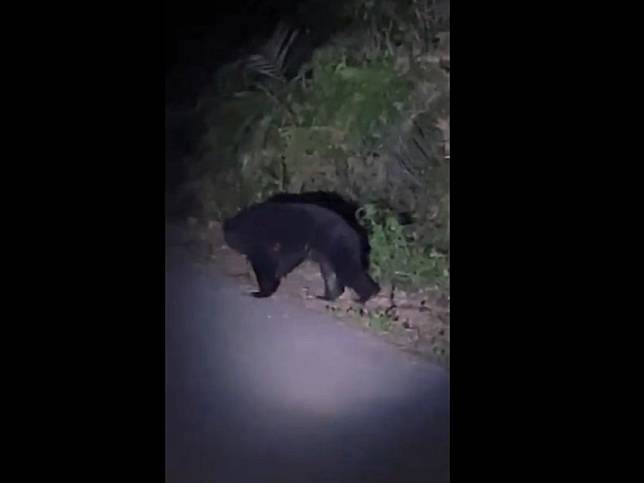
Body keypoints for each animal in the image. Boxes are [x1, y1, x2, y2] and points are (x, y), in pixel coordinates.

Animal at [224, 197, 380, 302]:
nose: (230, 241)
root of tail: (357, 236)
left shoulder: (264, 243)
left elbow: (267, 264)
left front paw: (262, 291)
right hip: (327, 254)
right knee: (330, 273)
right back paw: (328, 296)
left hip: (339, 246)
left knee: (349, 271)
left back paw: (366, 295)